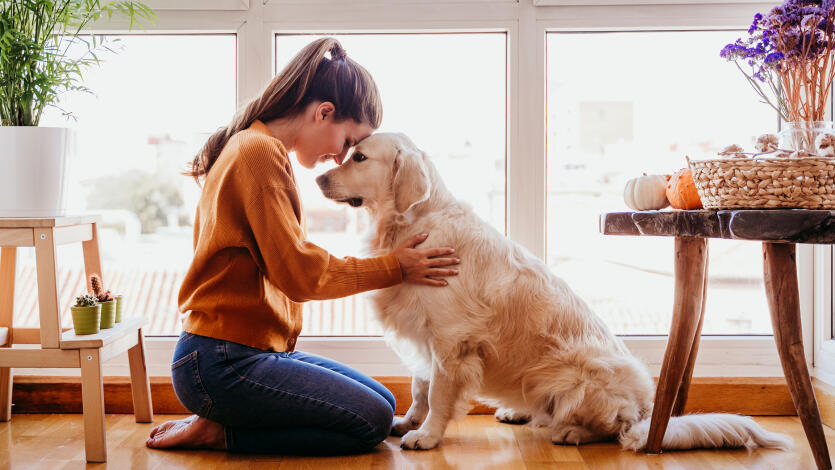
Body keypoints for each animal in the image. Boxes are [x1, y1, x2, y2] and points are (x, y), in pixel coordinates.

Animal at [314, 132, 792, 452]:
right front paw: (407, 421)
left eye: (358, 157)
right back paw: (519, 411)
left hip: (572, 375)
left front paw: (426, 435)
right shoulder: (424, 334)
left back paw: (571, 431)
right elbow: (418, 386)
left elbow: (438, 394)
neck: (411, 223)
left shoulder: (451, 340)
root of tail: (646, 411)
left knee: (613, 429)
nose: (317, 179)